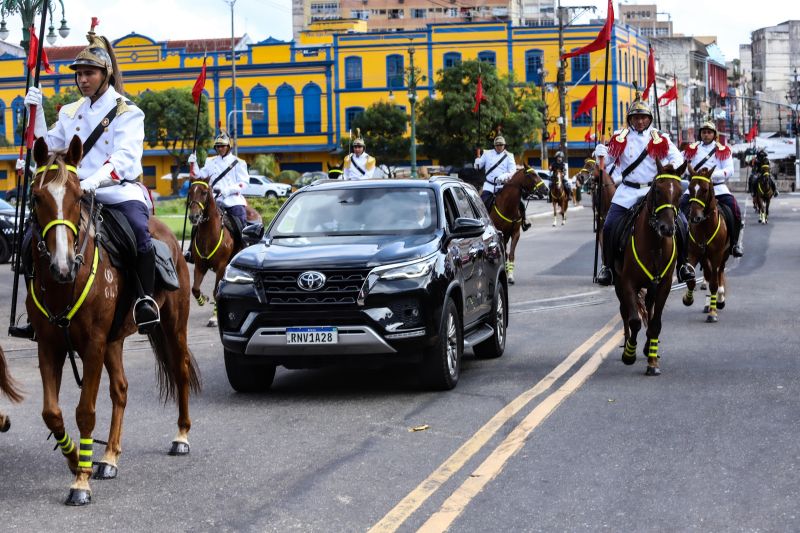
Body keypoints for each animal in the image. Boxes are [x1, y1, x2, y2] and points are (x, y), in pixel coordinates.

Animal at [27, 136, 200, 502]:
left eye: (77, 196)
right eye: (36, 197)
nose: (62, 266)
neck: (64, 284)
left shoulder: (93, 344)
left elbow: (85, 411)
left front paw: (80, 482)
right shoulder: (49, 344)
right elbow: (52, 413)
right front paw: (77, 460)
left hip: (173, 325)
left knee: (179, 371)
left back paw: (181, 436)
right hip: (114, 340)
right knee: (120, 389)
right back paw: (108, 457)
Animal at [187, 179, 262, 324]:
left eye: (204, 193)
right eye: (190, 192)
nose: (194, 216)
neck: (209, 234)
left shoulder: (221, 267)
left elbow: (216, 292)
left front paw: (214, 317)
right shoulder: (200, 266)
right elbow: (195, 289)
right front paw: (203, 299)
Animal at [612, 160, 688, 376]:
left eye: (680, 192)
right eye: (657, 190)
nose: (667, 228)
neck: (655, 244)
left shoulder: (664, 285)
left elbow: (655, 323)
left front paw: (652, 362)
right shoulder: (628, 283)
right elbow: (634, 320)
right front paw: (629, 354)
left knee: (649, 308)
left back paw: (647, 347)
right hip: (619, 283)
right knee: (625, 311)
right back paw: (628, 343)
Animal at [680, 164, 732, 322]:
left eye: (704, 190)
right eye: (690, 188)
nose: (694, 217)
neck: (704, 227)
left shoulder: (716, 255)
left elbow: (714, 283)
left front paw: (713, 312)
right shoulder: (694, 253)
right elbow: (692, 279)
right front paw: (688, 299)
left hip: (723, 255)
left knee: (719, 273)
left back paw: (719, 299)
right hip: (705, 258)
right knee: (709, 275)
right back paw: (708, 303)